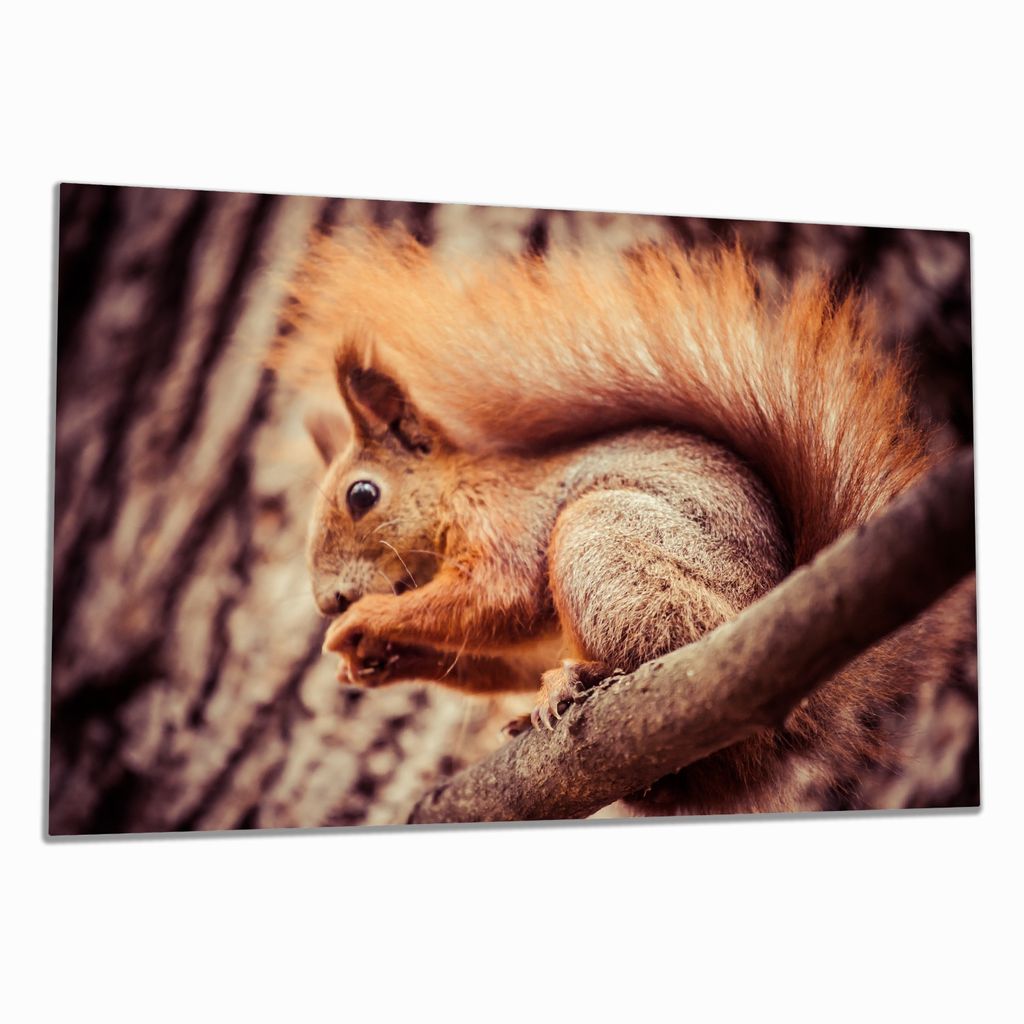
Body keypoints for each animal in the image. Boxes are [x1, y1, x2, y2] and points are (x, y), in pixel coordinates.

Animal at [277, 229, 975, 816]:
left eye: (362, 494)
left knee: (644, 643)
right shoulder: (517, 645)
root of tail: (796, 716)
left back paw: (580, 678)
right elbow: (494, 658)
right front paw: (374, 661)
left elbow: (498, 597)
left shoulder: (507, 524)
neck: (455, 492)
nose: (328, 600)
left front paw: (364, 623)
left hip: (610, 547)